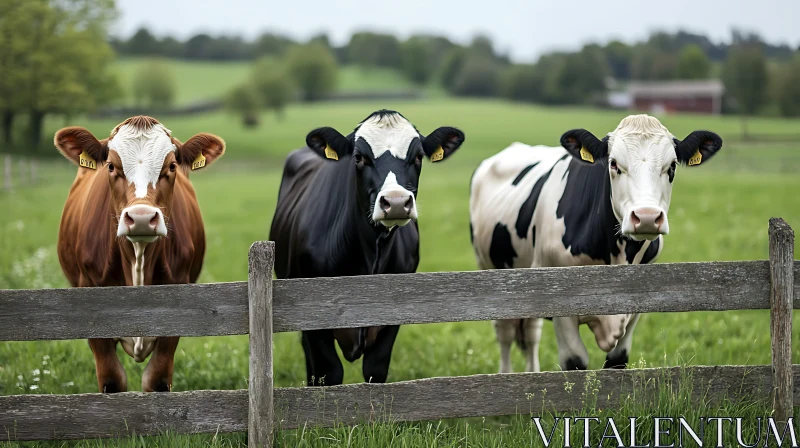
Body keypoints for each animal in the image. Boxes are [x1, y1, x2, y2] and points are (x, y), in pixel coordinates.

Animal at [272, 110, 466, 386]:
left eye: (418, 157)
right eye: (359, 157)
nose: (396, 202)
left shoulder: (393, 315)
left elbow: (375, 370)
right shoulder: (312, 319)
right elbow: (328, 372)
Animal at [468, 114, 724, 372]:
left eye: (672, 166)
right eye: (613, 163)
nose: (647, 217)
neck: (616, 257)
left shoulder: (638, 303)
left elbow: (617, 360)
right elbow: (575, 361)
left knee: (531, 334)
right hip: (490, 270)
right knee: (505, 333)